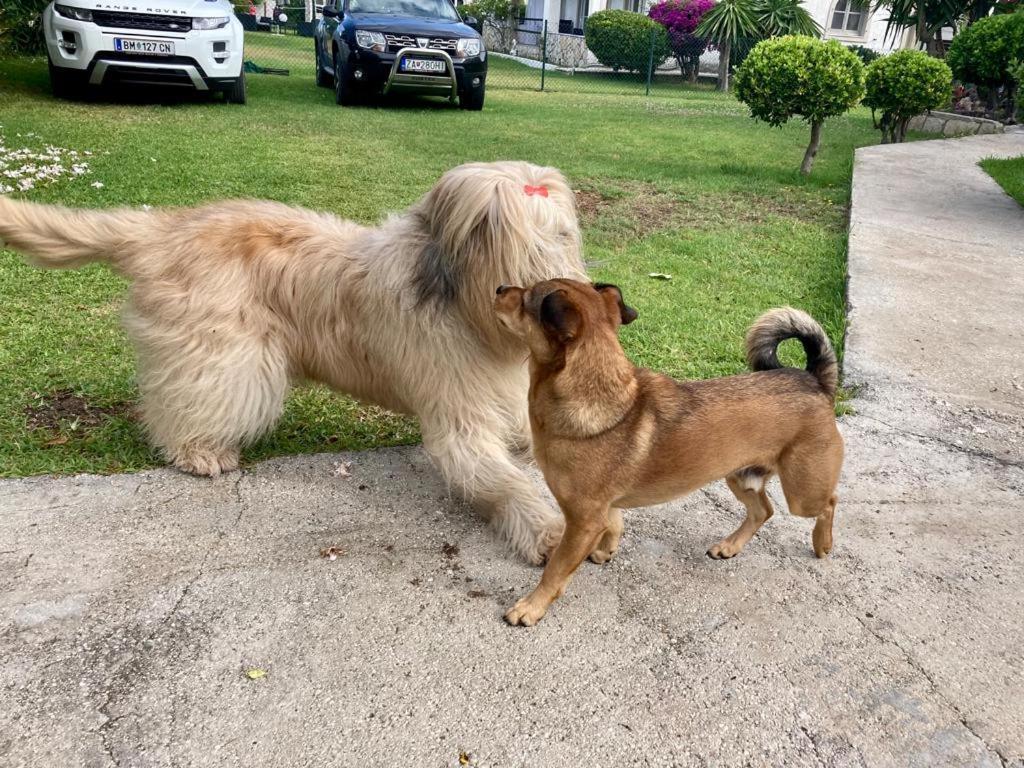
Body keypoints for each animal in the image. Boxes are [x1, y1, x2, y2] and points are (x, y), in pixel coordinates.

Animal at [0, 162, 589, 561]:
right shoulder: (457, 414)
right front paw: (548, 529)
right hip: (224, 350)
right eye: (525, 244)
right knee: (191, 395)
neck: (462, 304)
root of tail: (164, 230)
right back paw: (198, 450)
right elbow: (496, 476)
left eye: (562, 236)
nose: (565, 302)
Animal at [493, 280, 839, 626]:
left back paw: (823, 543)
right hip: (742, 478)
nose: (499, 288)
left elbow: (556, 570)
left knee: (828, 504)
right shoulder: (601, 509)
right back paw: (730, 546)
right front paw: (606, 550)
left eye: (526, 298)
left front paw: (531, 607)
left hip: (803, 494)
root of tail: (813, 380)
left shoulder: (582, 521)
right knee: (763, 511)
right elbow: (614, 523)